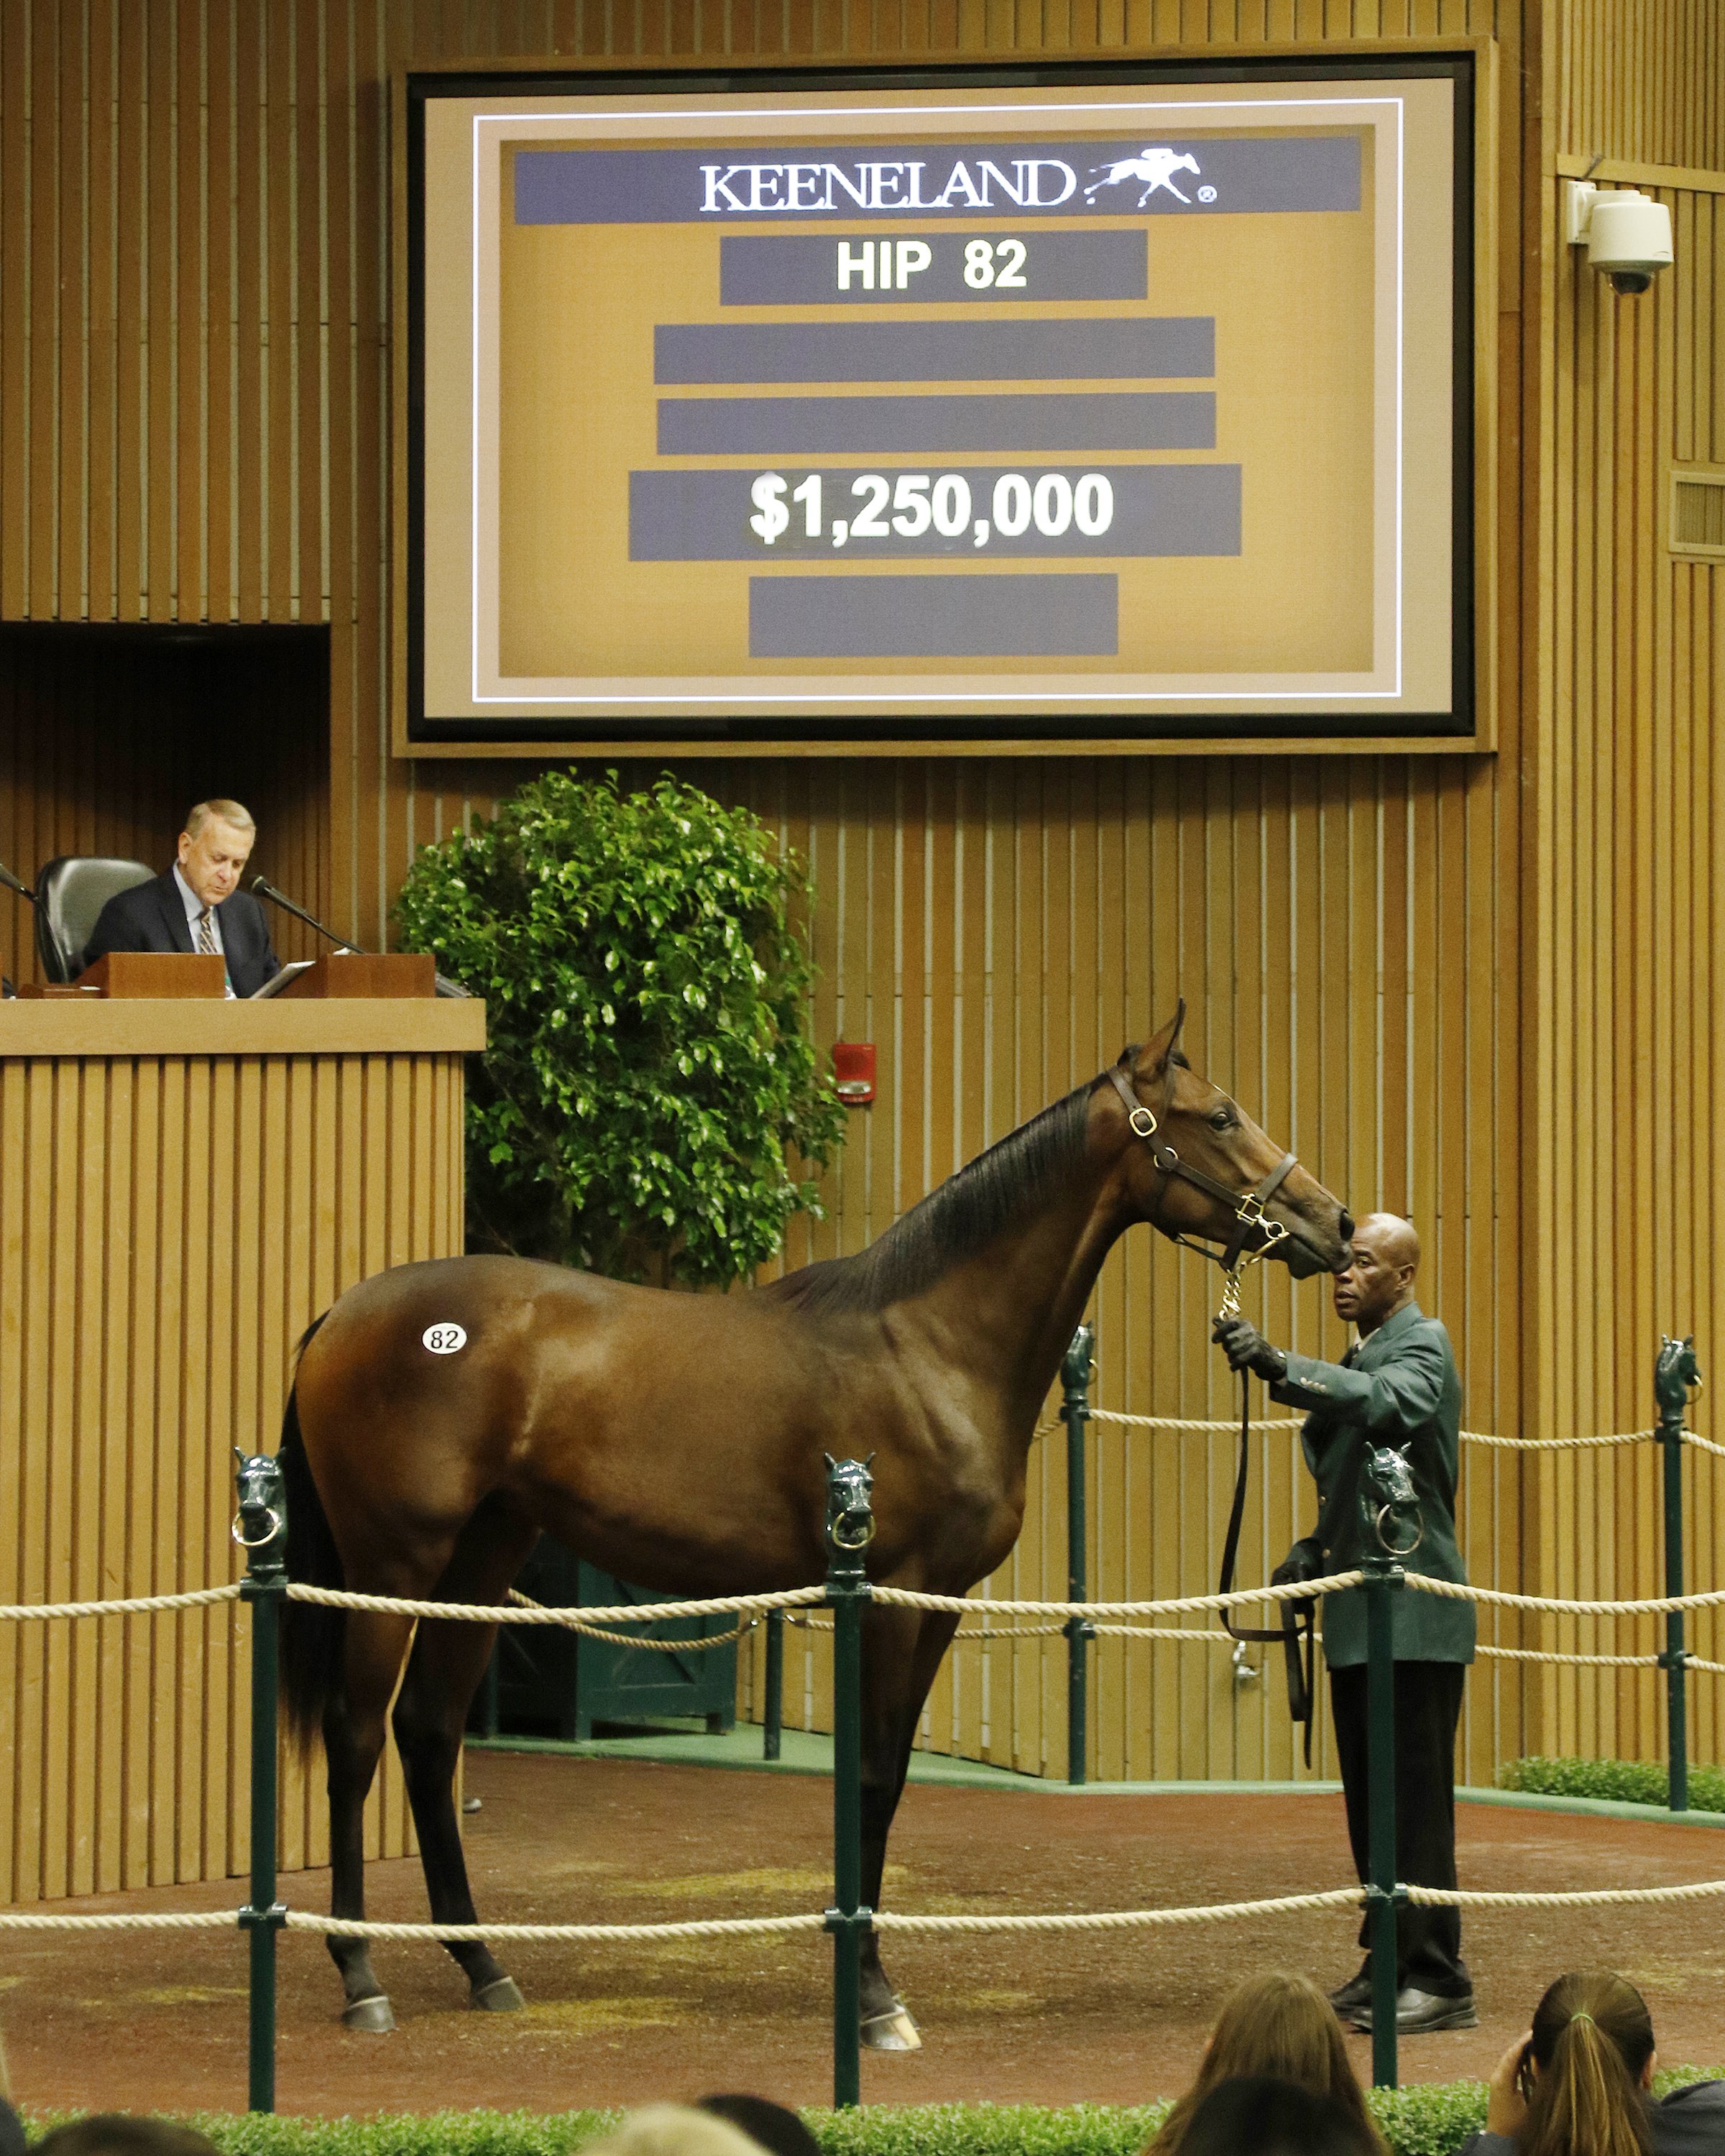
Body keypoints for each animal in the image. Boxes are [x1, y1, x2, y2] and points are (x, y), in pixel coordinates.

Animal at [275, 1003, 1351, 2047]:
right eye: (1220, 1117)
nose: (1333, 1222)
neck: (931, 1346)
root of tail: (339, 1314)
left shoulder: (939, 1605)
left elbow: (888, 1780)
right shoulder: (889, 1600)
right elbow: (870, 1778)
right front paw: (873, 1999)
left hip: (483, 1561)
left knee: (427, 1734)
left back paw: (483, 1966)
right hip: (391, 1567)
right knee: (358, 1737)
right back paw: (360, 1976)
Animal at [1084, 148, 1201, 206]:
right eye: (1191, 162)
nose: (1198, 172)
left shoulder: (1157, 182)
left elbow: (1149, 191)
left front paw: (1141, 202)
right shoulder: (1164, 181)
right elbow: (1175, 190)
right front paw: (1186, 200)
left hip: (1120, 175)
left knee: (1108, 181)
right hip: (1121, 174)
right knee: (1105, 180)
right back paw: (1089, 191)